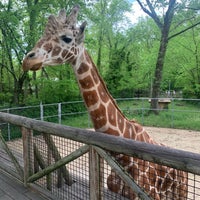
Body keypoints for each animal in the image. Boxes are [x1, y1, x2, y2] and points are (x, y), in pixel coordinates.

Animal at [22, 5, 188, 200]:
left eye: (67, 38)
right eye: (42, 35)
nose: (27, 60)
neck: (124, 160)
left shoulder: (151, 194)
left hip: (181, 192)